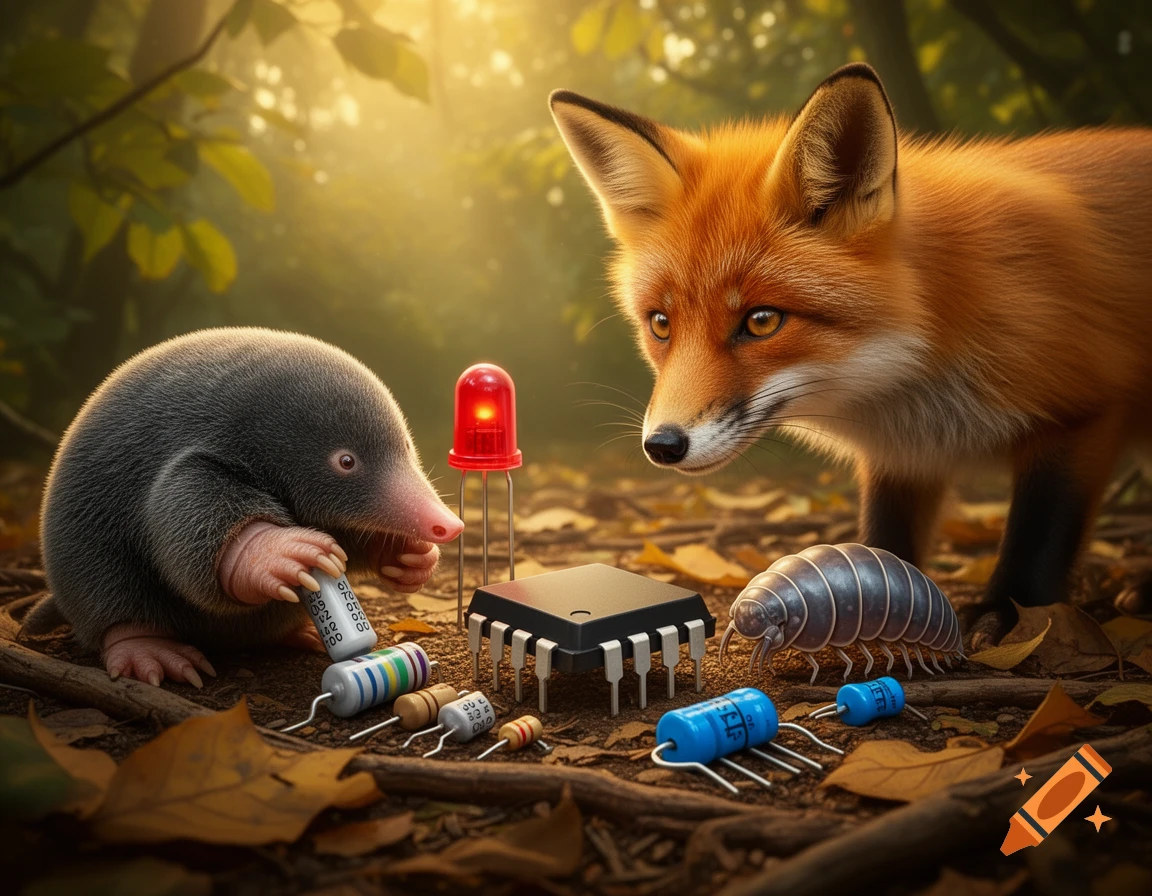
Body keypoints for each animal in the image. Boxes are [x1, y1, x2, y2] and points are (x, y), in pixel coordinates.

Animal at [549, 63, 1152, 641]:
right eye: (661, 324)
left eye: (761, 321)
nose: (662, 446)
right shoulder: (903, 453)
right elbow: (886, 538)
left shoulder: (1081, 410)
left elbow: (1037, 537)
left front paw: (1006, 614)